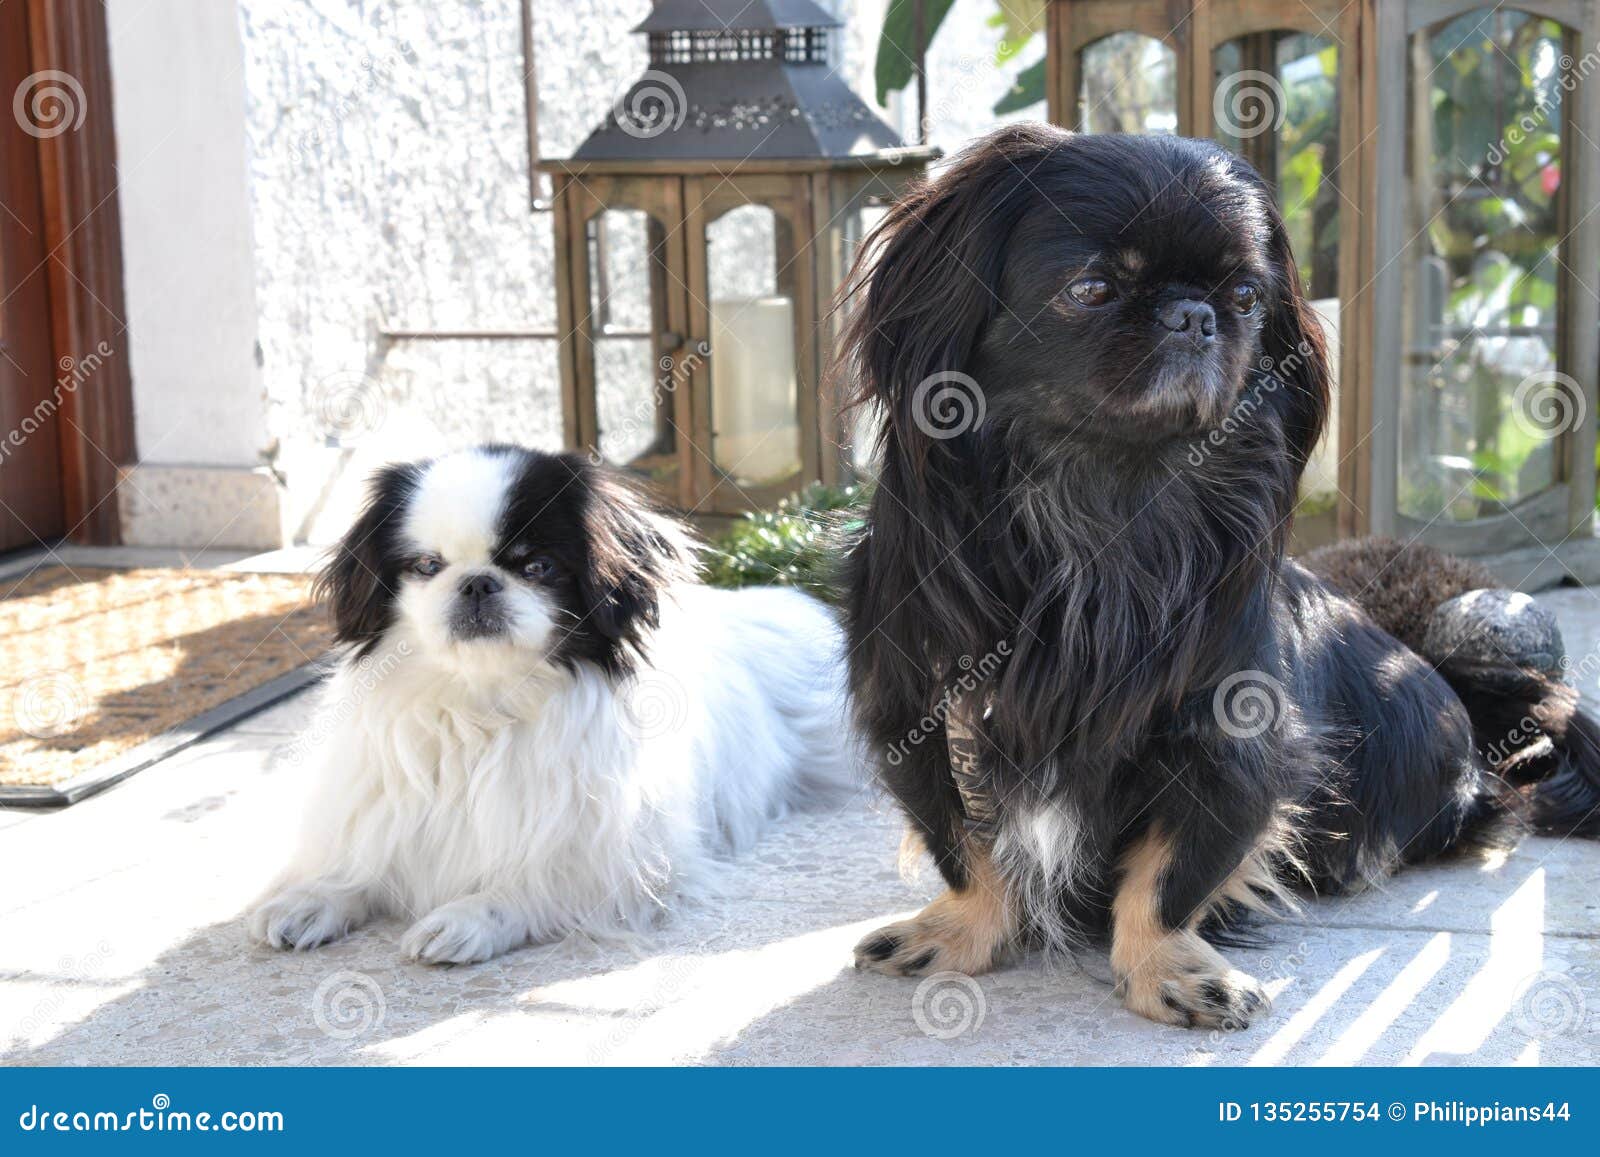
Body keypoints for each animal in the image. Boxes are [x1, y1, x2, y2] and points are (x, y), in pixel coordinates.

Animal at [251, 448, 857, 966]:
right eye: (426, 566)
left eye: (537, 567)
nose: (476, 583)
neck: (484, 705)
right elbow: (364, 856)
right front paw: (316, 896)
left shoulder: (622, 862)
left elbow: (532, 883)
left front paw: (470, 916)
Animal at [838, 126, 1600, 1030]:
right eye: (1091, 288)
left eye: (1244, 296)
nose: (1194, 315)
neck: (1105, 510)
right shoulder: (920, 713)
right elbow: (965, 847)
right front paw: (960, 932)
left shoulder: (1232, 741)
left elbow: (1170, 874)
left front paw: (1165, 969)